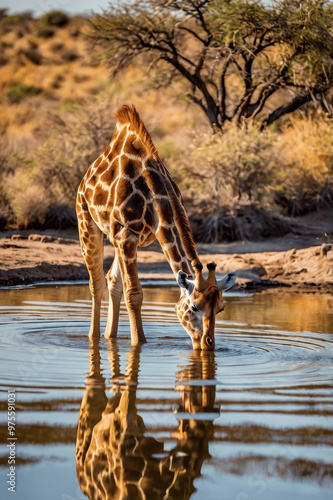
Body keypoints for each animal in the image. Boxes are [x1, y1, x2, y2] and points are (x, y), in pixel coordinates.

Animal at [76, 103, 237, 350]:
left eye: (221, 308)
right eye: (194, 307)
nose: (208, 344)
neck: (155, 191)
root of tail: (86, 178)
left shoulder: (128, 238)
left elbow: (124, 287)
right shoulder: (126, 236)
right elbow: (134, 293)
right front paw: (139, 343)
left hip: (116, 239)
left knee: (112, 281)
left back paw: (109, 337)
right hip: (87, 223)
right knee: (96, 283)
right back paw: (93, 338)